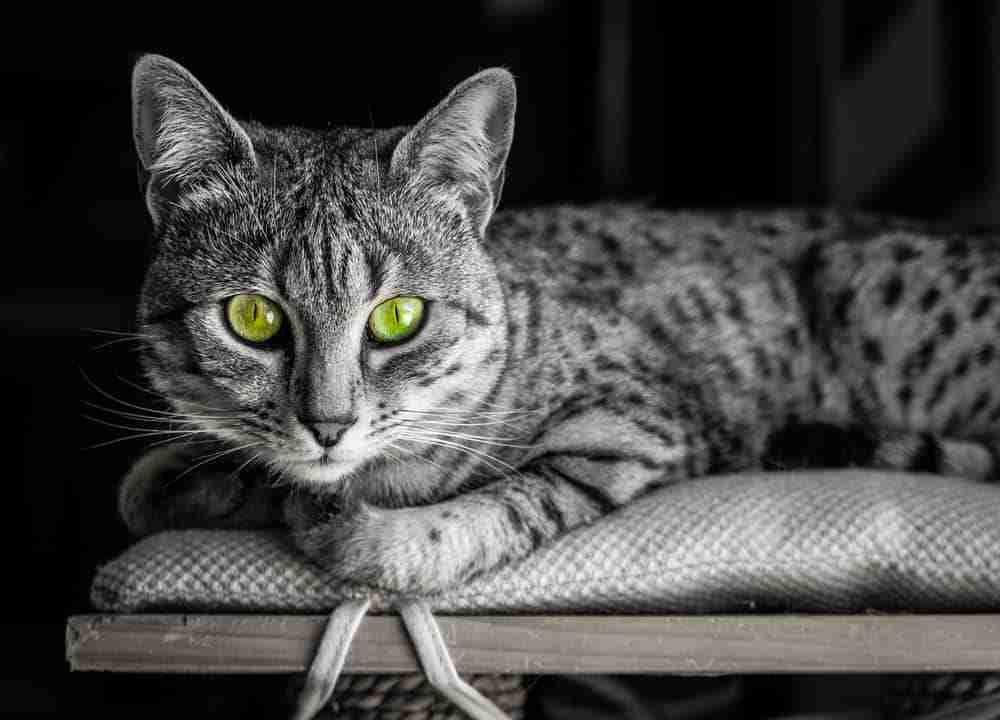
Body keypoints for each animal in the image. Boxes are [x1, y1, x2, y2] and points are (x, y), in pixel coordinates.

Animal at [113, 56, 1000, 592]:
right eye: (253, 317)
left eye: (398, 317)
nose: (327, 424)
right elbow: (177, 472)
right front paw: (201, 477)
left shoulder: (640, 423)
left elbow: (496, 507)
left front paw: (370, 533)